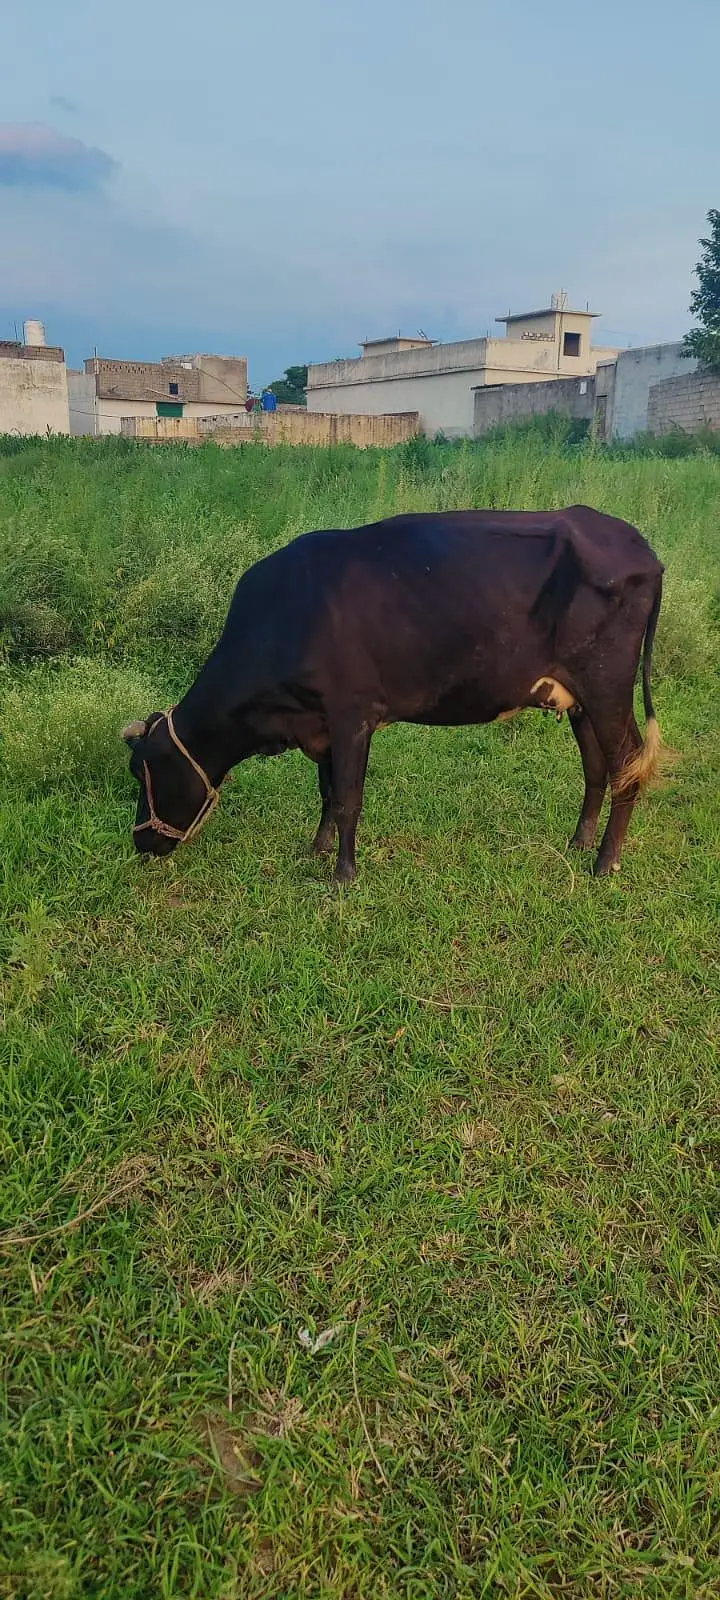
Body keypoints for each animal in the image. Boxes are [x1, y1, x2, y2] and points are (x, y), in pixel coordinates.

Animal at [122, 506, 664, 883]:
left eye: (142, 770)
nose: (141, 841)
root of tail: (639, 545)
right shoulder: (320, 724)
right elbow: (327, 790)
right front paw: (317, 849)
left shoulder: (352, 715)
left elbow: (348, 798)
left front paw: (343, 875)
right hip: (578, 698)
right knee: (596, 767)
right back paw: (579, 843)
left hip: (608, 686)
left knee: (626, 763)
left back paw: (605, 861)